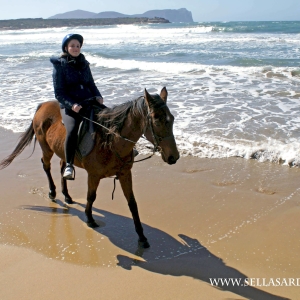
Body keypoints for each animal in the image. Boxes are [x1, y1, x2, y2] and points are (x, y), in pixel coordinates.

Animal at [0, 87, 179, 248]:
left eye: (172, 118)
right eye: (156, 120)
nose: (174, 157)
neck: (111, 141)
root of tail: (43, 105)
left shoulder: (125, 174)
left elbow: (132, 204)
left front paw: (141, 237)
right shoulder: (93, 175)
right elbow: (91, 197)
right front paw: (90, 219)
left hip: (62, 150)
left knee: (62, 167)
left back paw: (67, 196)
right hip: (46, 148)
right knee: (46, 166)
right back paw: (52, 192)